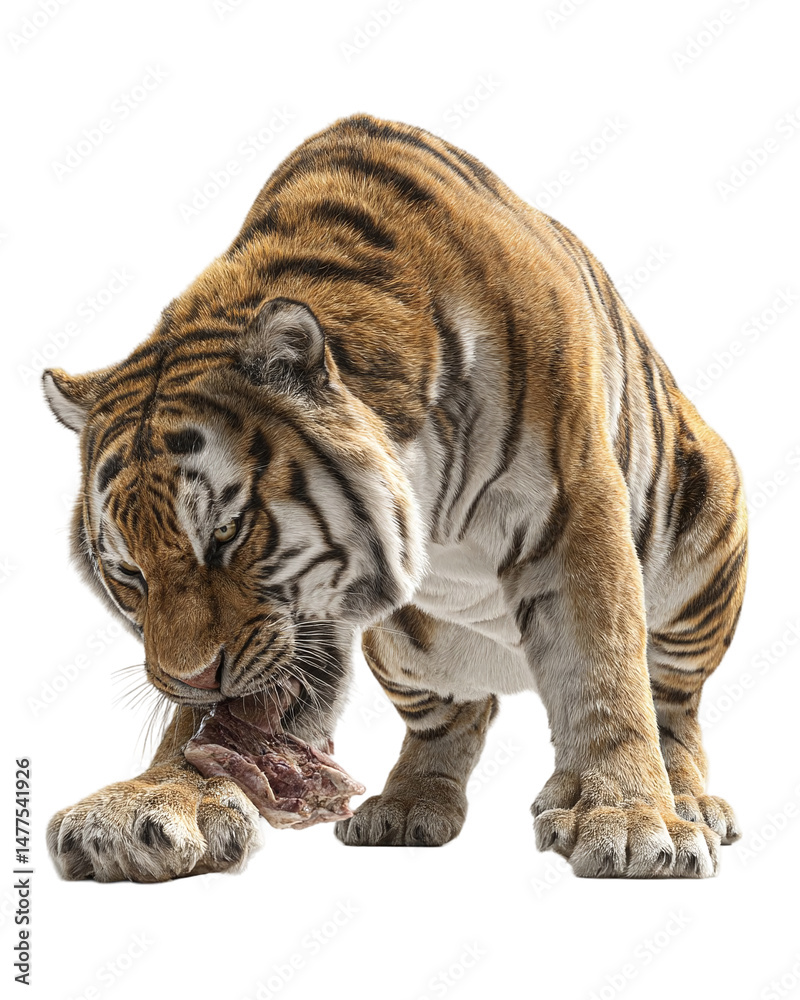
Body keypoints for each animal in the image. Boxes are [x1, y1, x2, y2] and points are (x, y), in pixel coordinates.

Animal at [43, 112, 747, 882]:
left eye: (226, 534)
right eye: (128, 574)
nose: (192, 678)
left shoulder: (575, 506)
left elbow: (604, 673)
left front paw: (630, 819)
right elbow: (202, 729)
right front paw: (146, 804)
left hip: (702, 542)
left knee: (669, 706)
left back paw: (684, 799)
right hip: (407, 654)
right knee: (456, 721)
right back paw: (408, 805)